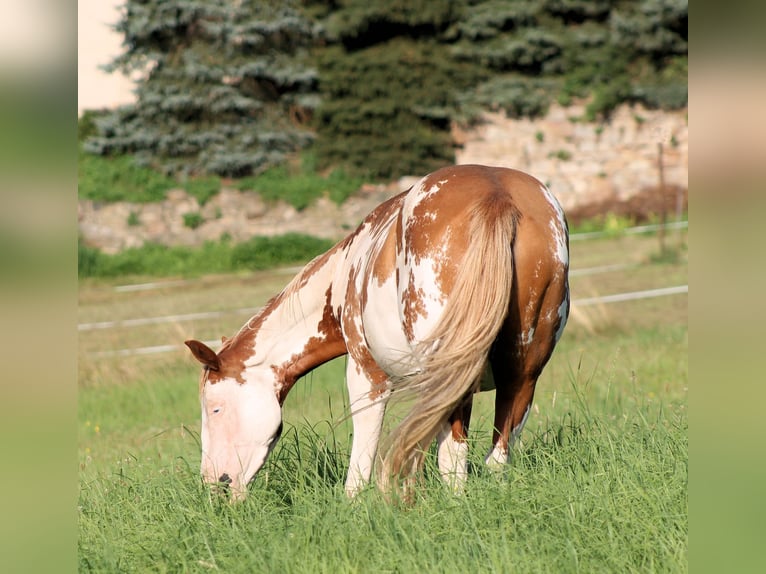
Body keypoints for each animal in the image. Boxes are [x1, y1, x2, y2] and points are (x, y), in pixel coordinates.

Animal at [185, 164, 570, 501]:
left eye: (215, 409)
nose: (214, 484)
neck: (342, 277)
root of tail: (496, 196)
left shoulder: (366, 374)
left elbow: (362, 459)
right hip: (521, 378)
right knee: (496, 459)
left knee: (453, 463)